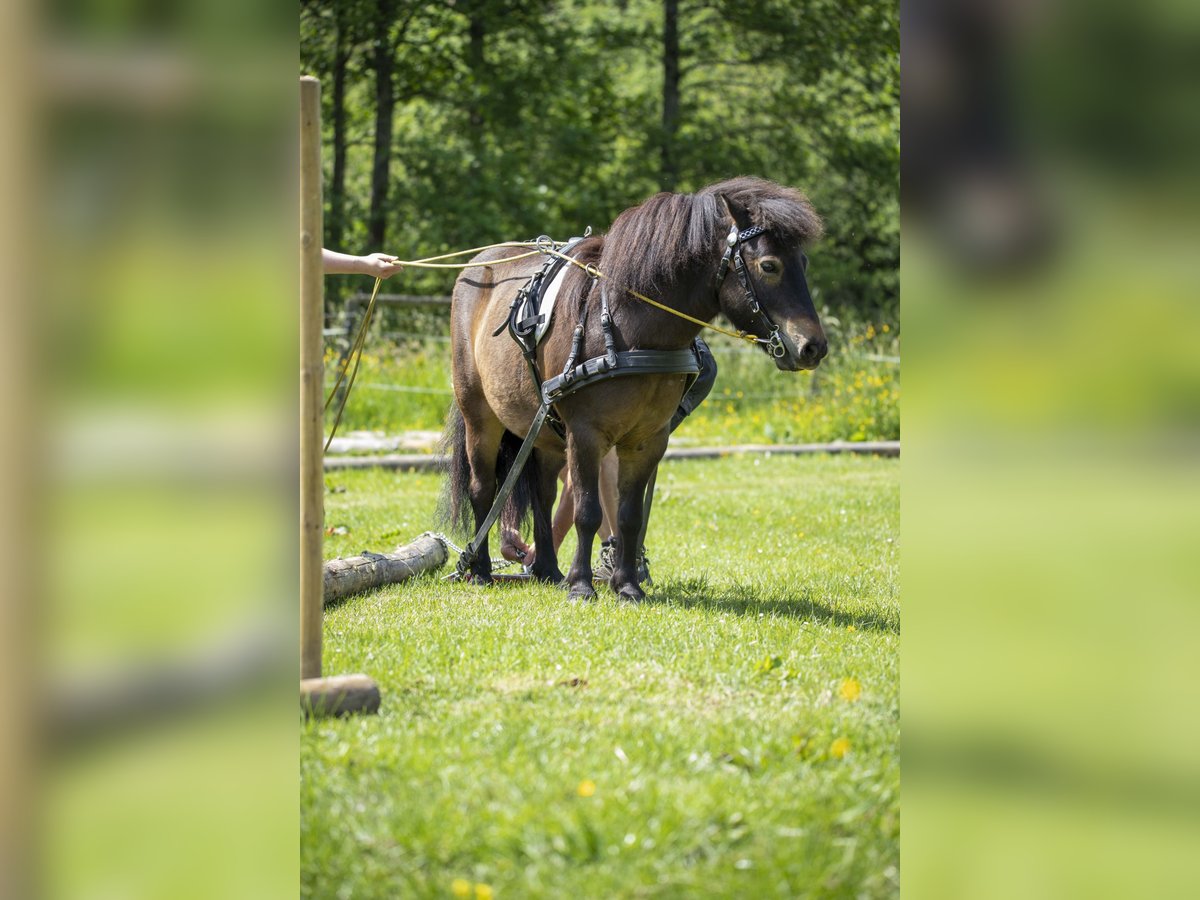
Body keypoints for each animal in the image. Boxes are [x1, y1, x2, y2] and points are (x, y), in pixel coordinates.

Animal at [446, 176, 830, 602]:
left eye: (803, 263)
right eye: (769, 265)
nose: (813, 347)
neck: (627, 325)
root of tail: (479, 267)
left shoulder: (648, 439)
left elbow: (629, 515)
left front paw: (627, 585)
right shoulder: (585, 435)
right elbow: (588, 511)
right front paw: (582, 586)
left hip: (543, 429)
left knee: (543, 493)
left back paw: (547, 569)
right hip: (480, 416)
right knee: (483, 487)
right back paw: (479, 569)